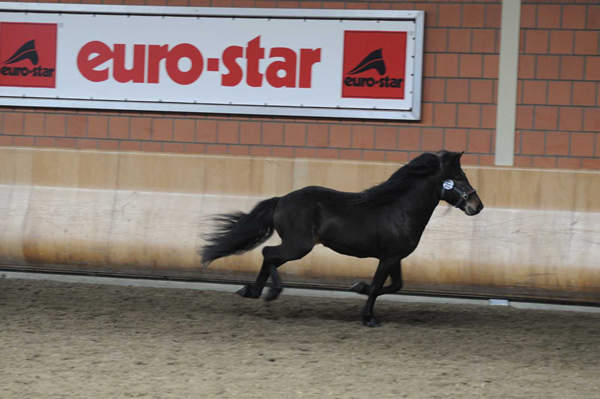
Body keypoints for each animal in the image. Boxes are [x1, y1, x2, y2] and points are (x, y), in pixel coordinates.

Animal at [202, 152, 482, 326]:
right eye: (459, 177)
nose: (477, 206)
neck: (399, 209)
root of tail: (281, 200)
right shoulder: (387, 257)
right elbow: (379, 285)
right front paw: (368, 317)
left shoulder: (395, 257)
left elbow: (395, 285)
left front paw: (358, 287)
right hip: (297, 246)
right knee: (268, 253)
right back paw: (268, 292)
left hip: (296, 246)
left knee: (269, 257)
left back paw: (254, 291)